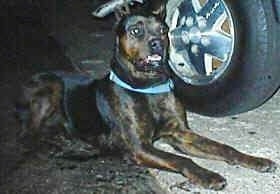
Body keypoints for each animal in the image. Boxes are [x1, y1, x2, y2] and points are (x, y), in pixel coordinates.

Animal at [18, 2, 278, 191]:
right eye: (136, 30)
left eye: (163, 30)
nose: (156, 44)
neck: (147, 86)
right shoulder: (139, 146)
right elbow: (181, 160)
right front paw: (208, 175)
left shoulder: (180, 134)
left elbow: (223, 148)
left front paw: (255, 160)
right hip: (50, 86)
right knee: (29, 134)